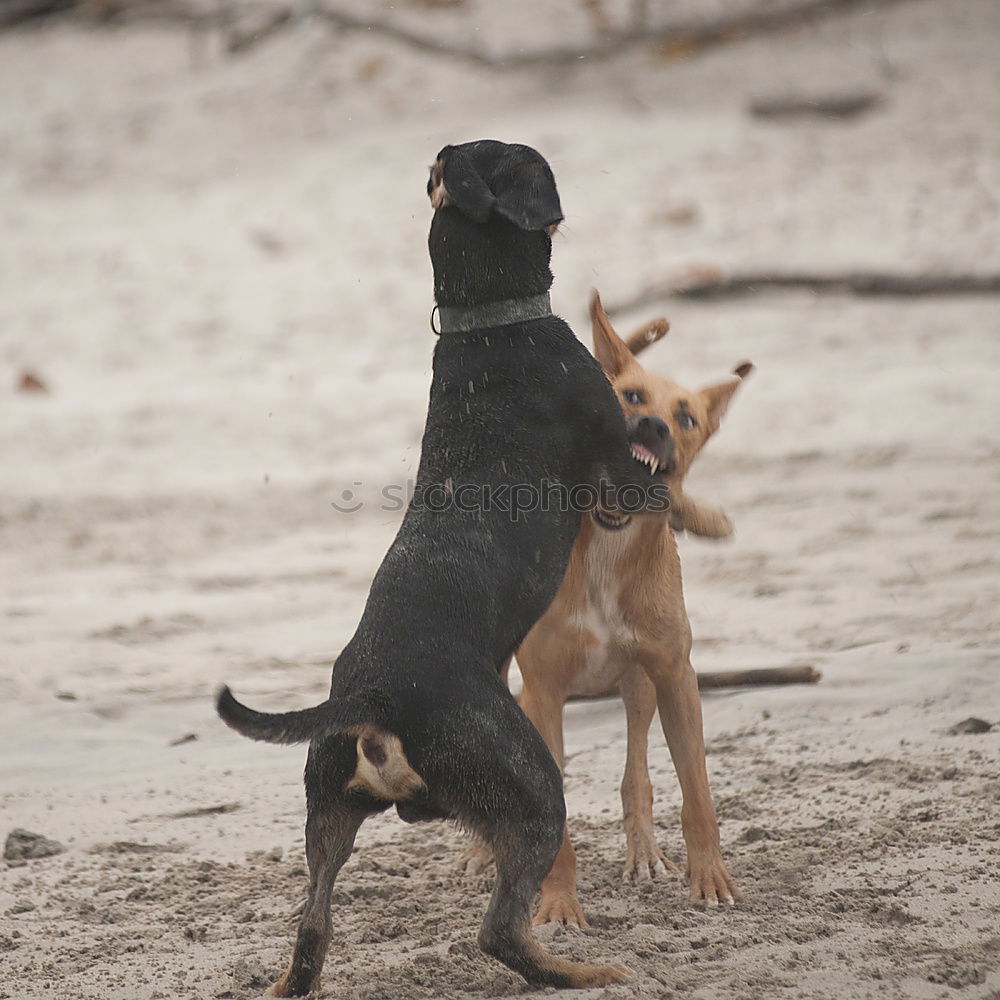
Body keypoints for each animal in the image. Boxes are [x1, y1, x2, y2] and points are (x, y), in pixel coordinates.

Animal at [221, 139, 672, 992]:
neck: (488, 325)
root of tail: (374, 693)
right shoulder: (616, 478)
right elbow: (653, 463)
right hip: (532, 789)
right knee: (501, 929)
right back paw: (583, 972)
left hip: (328, 813)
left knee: (313, 924)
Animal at [512, 292, 752, 924]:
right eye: (632, 396)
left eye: (687, 418)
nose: (654, 426)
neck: (607, 538)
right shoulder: (543, 692)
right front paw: (558, 904)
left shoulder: (675, 676)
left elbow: (697, 793)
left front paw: (710, 879)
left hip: (640, 684)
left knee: (636, 772)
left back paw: (644, 850)